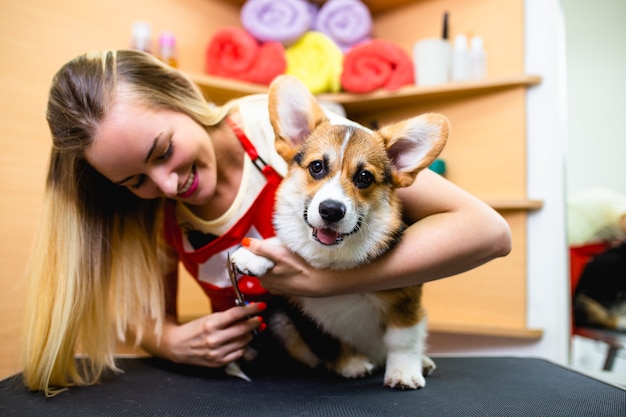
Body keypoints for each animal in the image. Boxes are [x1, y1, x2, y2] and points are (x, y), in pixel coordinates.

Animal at [232, 74, 446, 386]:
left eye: (364, 177)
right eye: (317, 167)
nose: (331, 210)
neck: (336, 257)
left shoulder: (406, 300)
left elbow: (402, 340)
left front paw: (404, 372)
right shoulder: (302, 314)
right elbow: (327, 342)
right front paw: (255, 254)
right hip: (280, 321)